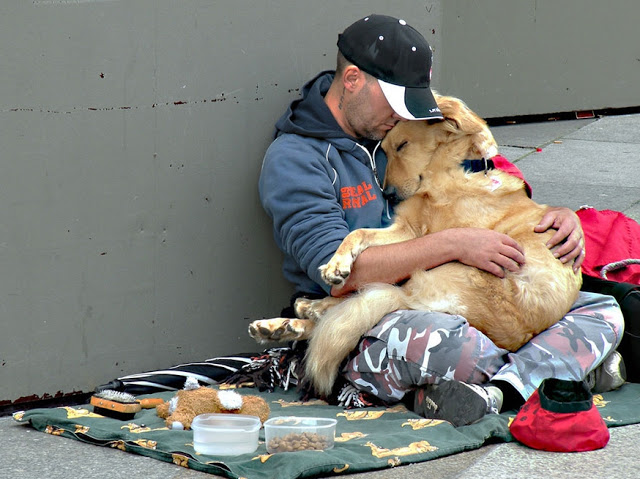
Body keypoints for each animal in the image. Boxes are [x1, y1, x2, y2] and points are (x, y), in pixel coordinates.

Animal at [251, 94, 584, 398]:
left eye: (402, 145)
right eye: (384, 149)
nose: (388, 193)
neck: (448, 170)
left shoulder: (422, 233)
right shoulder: (407, 229)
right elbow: (357, 233)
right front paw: (338, 263)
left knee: (349, 309)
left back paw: (302, 312)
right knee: (344, 313)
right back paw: (282, 324)